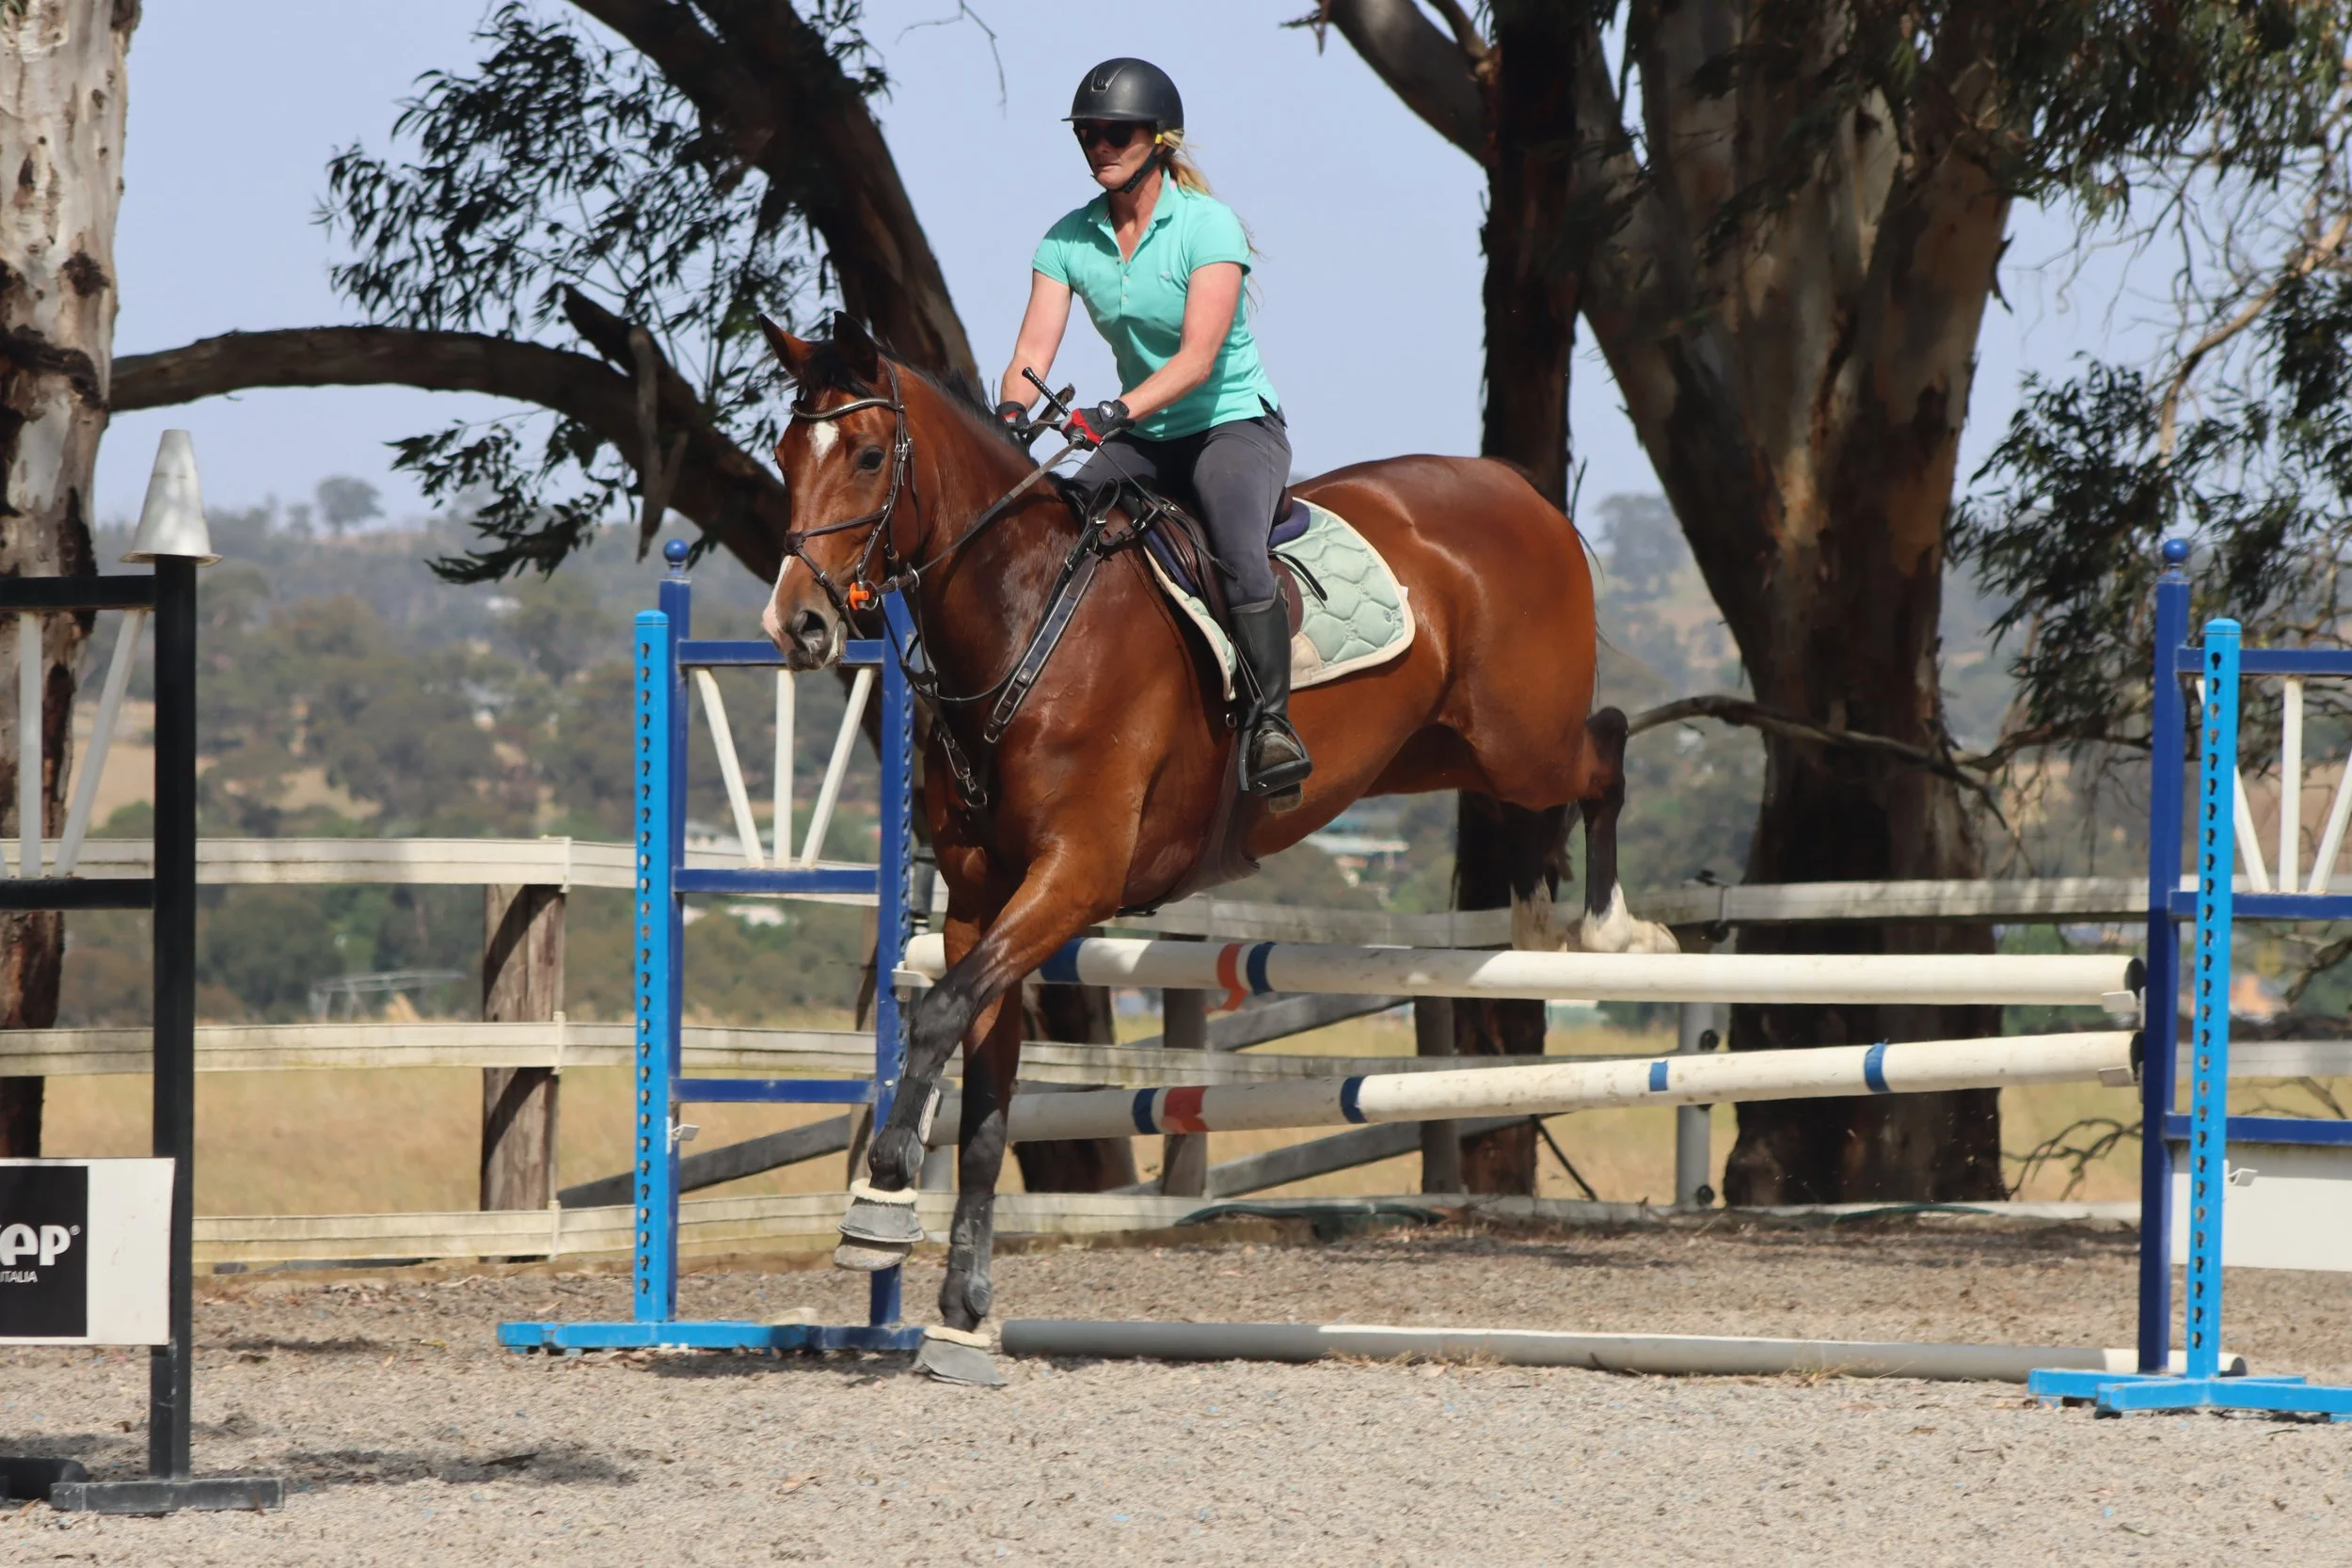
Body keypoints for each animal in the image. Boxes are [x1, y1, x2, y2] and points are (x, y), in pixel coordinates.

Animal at [756, 314, 1674, 1383]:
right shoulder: (984, 901)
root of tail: (1519, 493)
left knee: (1606, 746)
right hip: (1438, 749)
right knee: (1546, 789)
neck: (1023, 616)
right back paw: (1535, 907)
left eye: (867, 455)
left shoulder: (1074, 879)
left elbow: (942, 1012)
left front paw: (883, 1194)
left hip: (1519, 734)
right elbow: (987, 1095)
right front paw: (958, 1311)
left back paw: (1611, 929)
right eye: (786, 455)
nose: (798, 624)